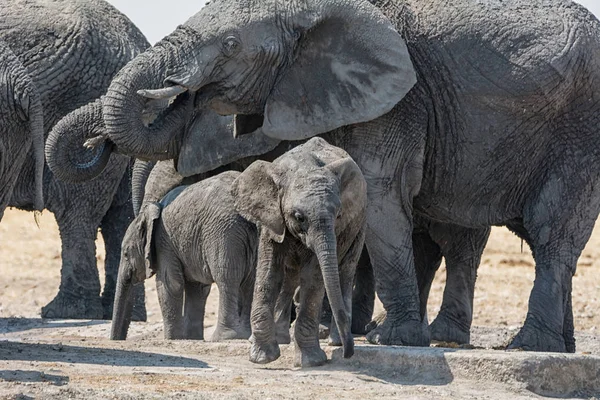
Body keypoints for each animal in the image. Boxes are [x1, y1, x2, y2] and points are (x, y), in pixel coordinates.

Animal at [0, 0, 150, 318]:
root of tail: (135, 43)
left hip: (82, 90)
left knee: (77, 213)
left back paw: (67, 312)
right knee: (120, 214)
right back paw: (124, 314)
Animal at [111, 171, 256, 340]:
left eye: (126, 254)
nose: (117, 340)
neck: (152, 211)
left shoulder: (164, 242)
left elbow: (169, 284)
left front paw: (172, 339)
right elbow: (197, 288)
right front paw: (192, 338)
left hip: (225, 234)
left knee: (226, 279)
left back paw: (225, 337)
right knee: (251, 281)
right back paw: (246, 335)